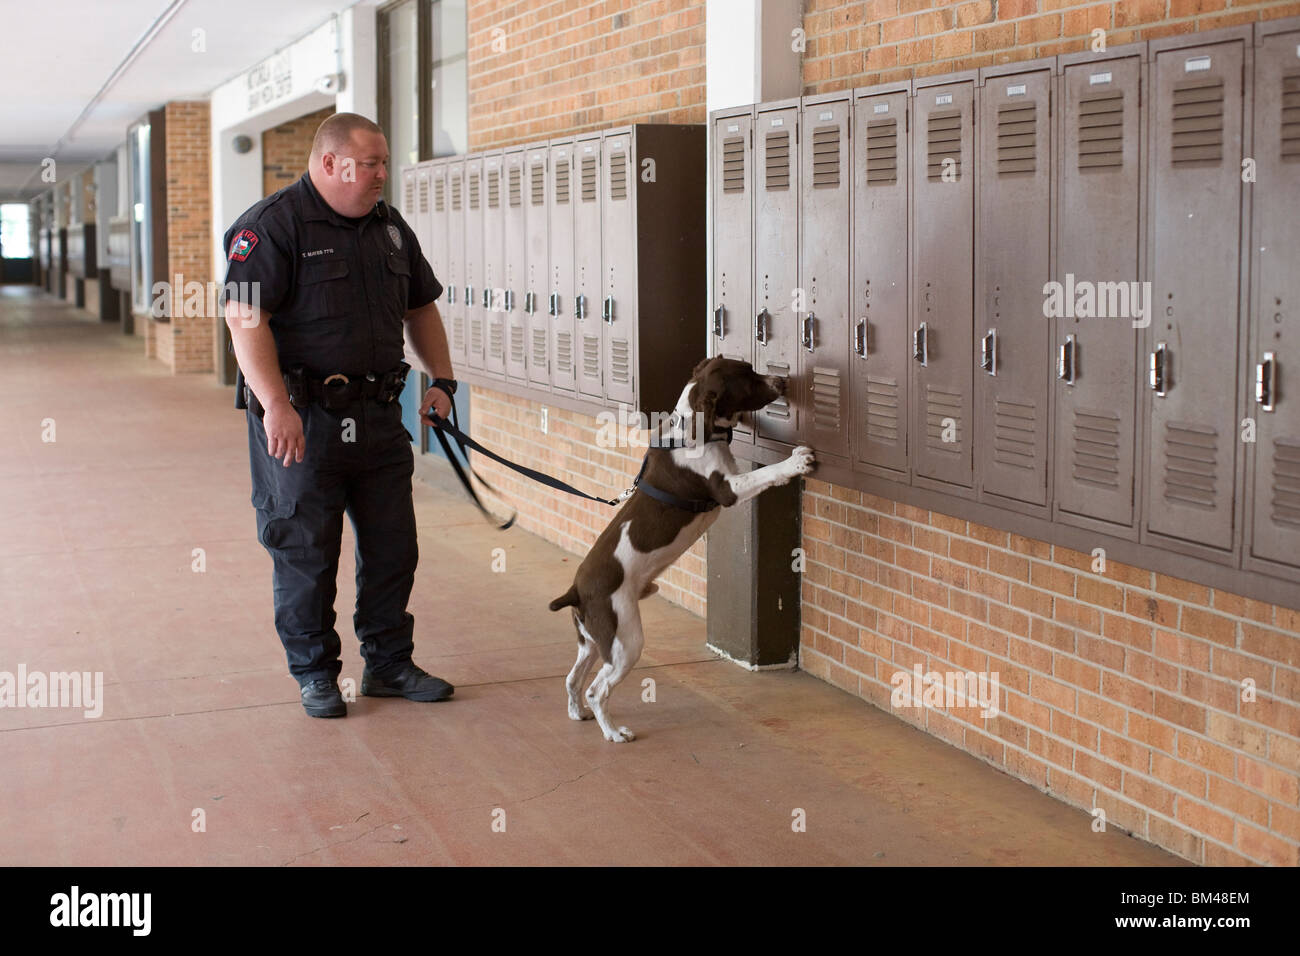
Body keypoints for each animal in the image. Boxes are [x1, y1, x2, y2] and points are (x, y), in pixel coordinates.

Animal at [546, 356, 811, 738]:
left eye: (750, 366)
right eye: (747, 378)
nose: (781, 381)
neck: (688, 434)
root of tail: (576, 590)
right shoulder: (729, 489)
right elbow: (766, 473)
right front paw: (796, 461)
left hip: (595, 640)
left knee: (572, 678)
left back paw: (577, 712)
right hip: (625, 641)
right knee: (598, 689)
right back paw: (613, 733)